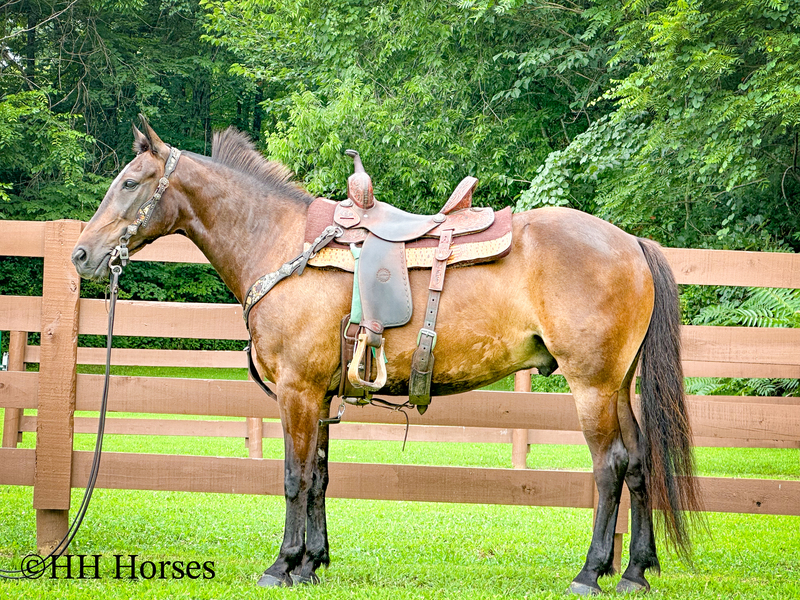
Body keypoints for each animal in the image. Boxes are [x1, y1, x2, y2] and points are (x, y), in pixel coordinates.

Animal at [71, 118, 702, 595]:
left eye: (130, 183)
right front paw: (312, 563)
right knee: (641, 463)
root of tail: (630, 242)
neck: (280, 245)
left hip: (591, 385)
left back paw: (591, 573)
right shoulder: (321, 396)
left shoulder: (298, 391)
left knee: (610, 467)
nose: (81, 254)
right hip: (618, 385)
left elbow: (294, 477)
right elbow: (320, 476)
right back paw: (634, 572)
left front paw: (283, 564)